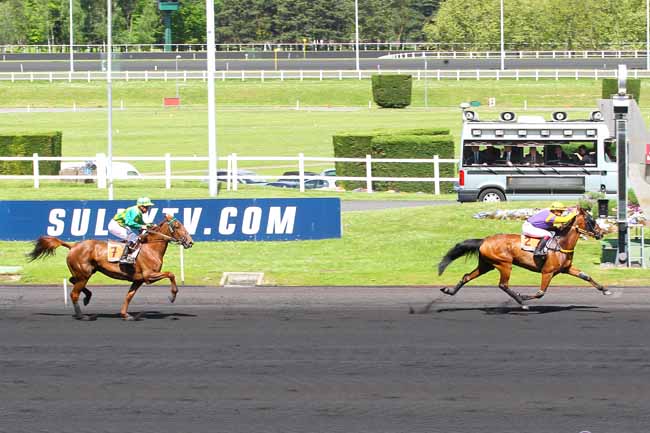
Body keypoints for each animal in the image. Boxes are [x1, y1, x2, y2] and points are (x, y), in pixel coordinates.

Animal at [28, 214, 194, 320]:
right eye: (177, 226)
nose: (190, 242)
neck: (150, 248)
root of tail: (73, 245)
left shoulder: (138, 280)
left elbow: (129, 296)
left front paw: (125, 314)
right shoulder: (149, 276)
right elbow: (171, 274)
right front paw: (172, 295)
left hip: (85, 272)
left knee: (72, 281)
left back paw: (87, 297)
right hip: (84, 274)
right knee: (74, 293)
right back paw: (82, 315)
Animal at [437, 207, 611, 310]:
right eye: (591, 220)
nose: (601, 233)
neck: (561, 243)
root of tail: (484, 240)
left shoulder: (566, 268)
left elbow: (586, 276)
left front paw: (605, 290)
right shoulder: (547, 272)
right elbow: (540, 292)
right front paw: (523, 296)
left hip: (487, 265)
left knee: (467, 276)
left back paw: (449, 291)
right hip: (504, 264)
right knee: (503, 285)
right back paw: (522, 303)